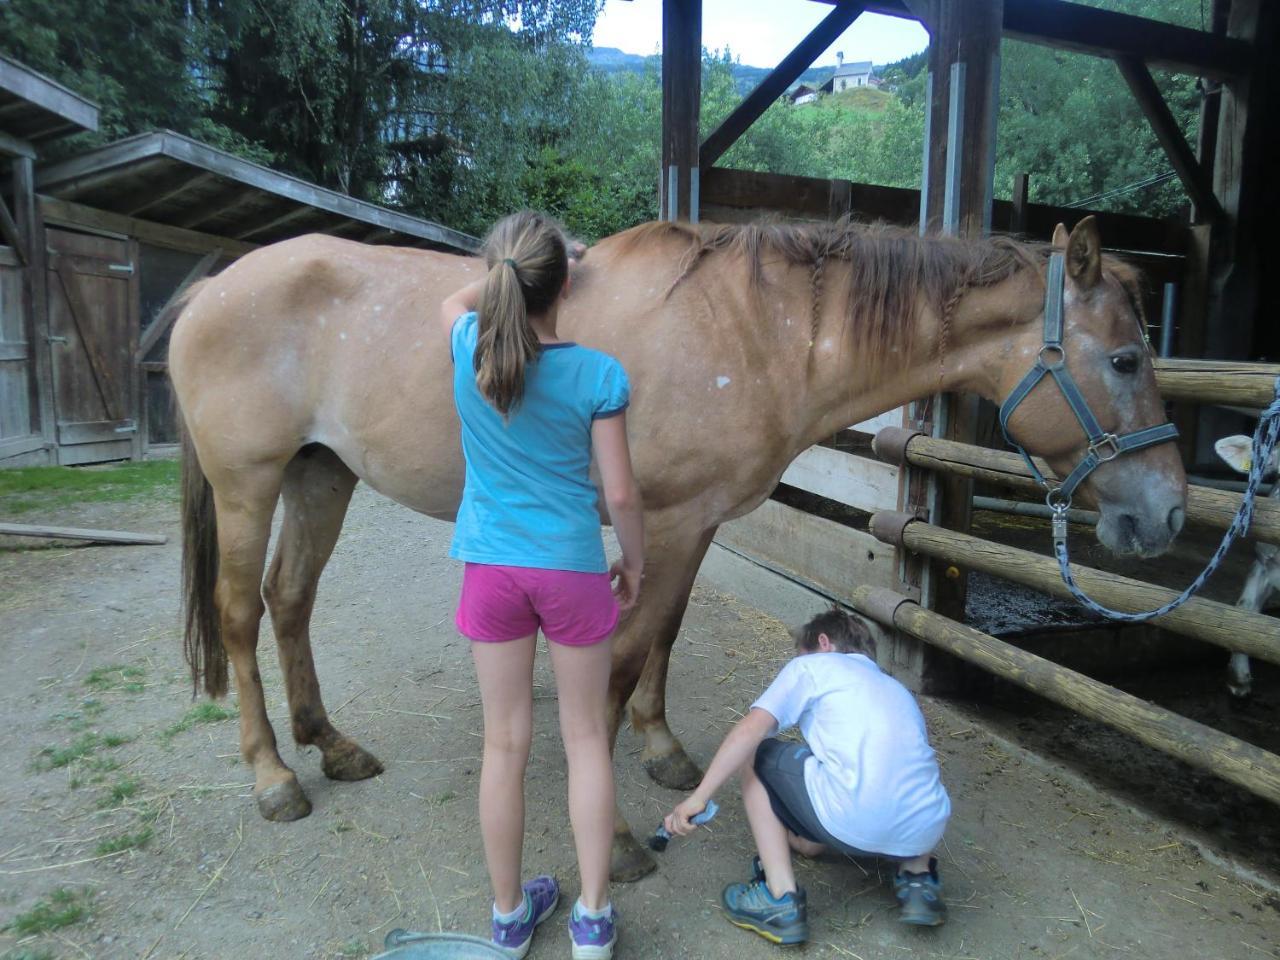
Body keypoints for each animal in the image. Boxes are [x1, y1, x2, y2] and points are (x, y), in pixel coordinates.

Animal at [172, 213, 1187, 885]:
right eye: (1127, 359)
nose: (1169, 515)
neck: (754, 330)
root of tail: (212, 286)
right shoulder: (659, 524)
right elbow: (622, 663)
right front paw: (618, 836)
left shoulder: (695, 524)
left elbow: (664, 637)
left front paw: (662, 749)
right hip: (250, 484)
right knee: (241, 614)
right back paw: (274, 777)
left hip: (320, 476)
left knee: (291, 601)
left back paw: (330, 745)